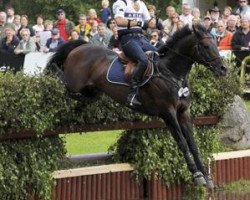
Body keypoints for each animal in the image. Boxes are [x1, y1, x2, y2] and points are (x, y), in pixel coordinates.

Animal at [46, 24, 227, 188]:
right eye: (205, 46)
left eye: (216, 43)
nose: (223, 69)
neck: (172, 73)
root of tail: (81, 47)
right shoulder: (168, 113)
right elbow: (182, 142)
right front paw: (196, 175)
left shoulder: (184, 112)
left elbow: (193, 144)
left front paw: (206, 177)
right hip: (73, 83)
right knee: (60, 76)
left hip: (93, 90)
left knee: (87, 95)